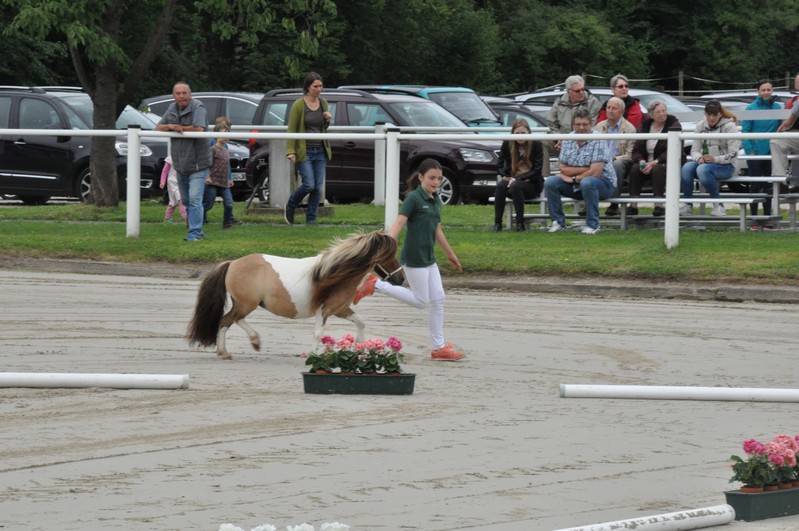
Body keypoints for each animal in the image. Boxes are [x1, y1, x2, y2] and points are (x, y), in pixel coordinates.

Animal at [188, 231, 406, 360]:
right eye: (387, 256)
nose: (401, 278)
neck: (334, 273)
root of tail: (232, 263)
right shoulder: (323, 311)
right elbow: (318, 333)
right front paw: (312, 356)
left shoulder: (340, 309)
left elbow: (360, 322)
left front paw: (360, 346)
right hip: (246, 303)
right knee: (226, 321)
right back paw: (226, 352)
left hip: (245, 304)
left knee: (234, 320)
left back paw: (252, 343)